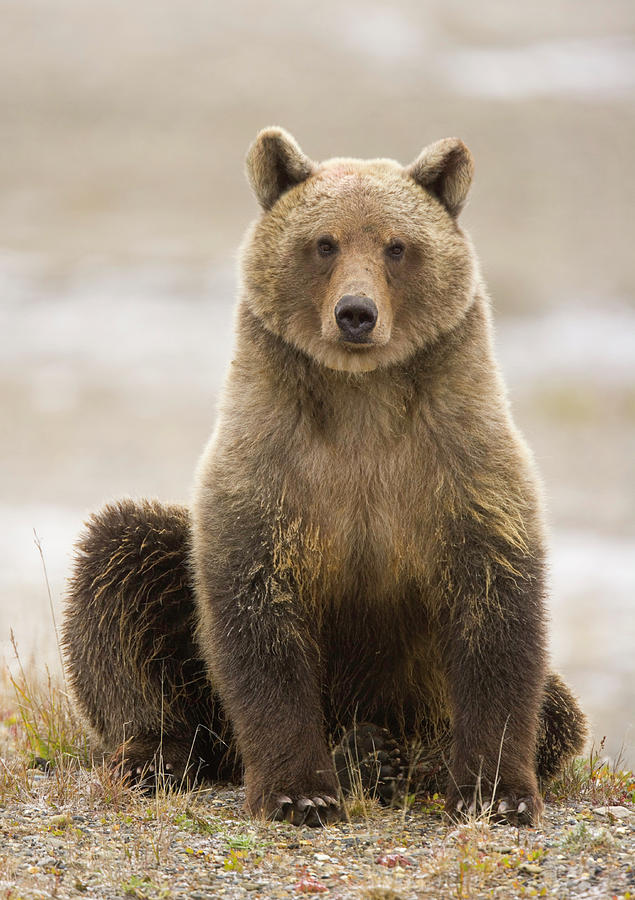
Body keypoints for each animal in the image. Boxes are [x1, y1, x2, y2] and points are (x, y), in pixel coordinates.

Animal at [62, 128, 588, 828]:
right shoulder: (271, 471)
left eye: (397, 245)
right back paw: (161, 754)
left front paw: (495, 792)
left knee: (558, 711)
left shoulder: (461, 467)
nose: (356, 313)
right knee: (122, 559)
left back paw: (388, 755)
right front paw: (300, 791)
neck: (360, 402)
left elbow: (497, 620)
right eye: (324, 242)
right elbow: (257, 624)